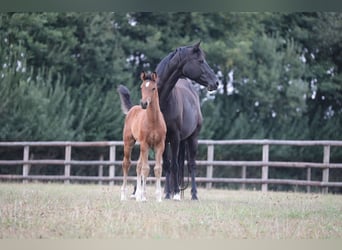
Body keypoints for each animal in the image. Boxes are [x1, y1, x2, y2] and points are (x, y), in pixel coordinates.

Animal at [117, 72, 166, 201]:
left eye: (153, 88)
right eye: (141, 87)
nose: (144, 104)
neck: (153, 121)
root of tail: (132, 109)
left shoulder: (160, 145)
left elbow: (157, 169)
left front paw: (158, 198)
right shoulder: (145, 143)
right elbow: (146, 169)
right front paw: (144, 197)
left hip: (142, 147)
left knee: (138, 165)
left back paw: (138, 195)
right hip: (129, 142)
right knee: (127, 163)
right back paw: (123, 195)